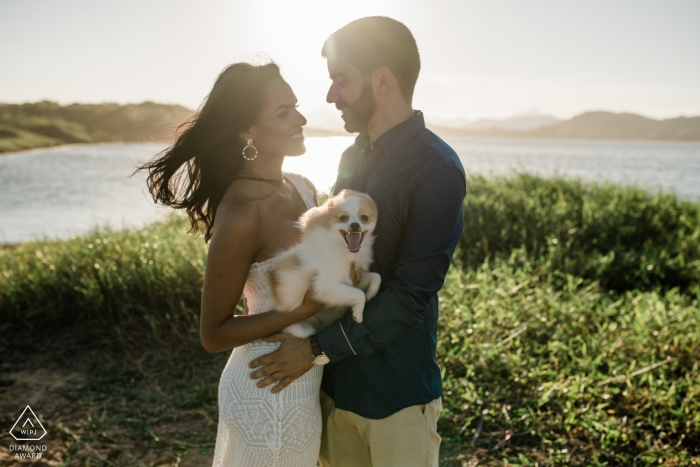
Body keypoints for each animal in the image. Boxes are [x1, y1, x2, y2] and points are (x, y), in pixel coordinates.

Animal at [270, 190, 382, 340]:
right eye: (343, 218)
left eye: (364, 218)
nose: (354, 225)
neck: (344, 248)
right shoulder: (326, 287)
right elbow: (359, 294)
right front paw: (358, 314)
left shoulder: (353, 278)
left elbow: (376, 277)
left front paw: (370, 293)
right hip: (302, 328)